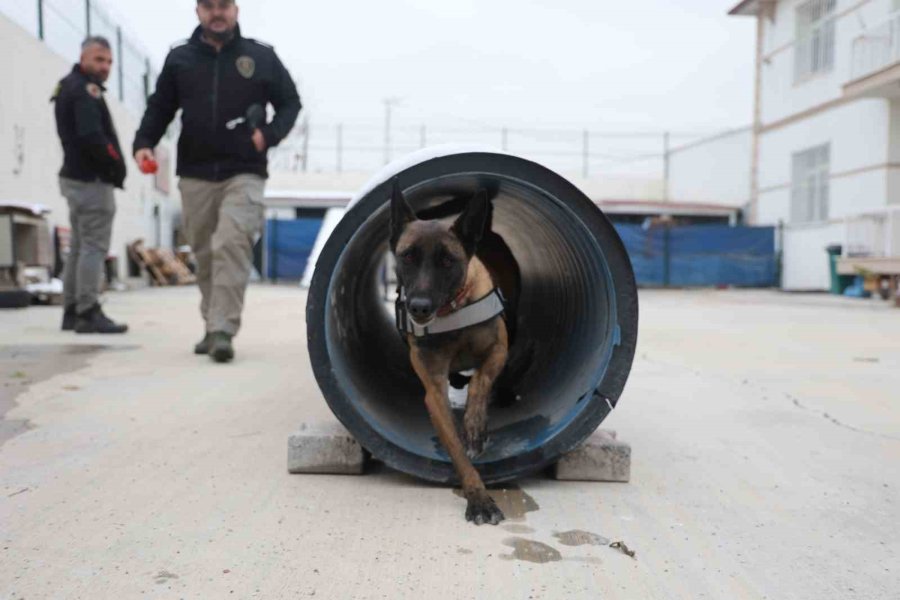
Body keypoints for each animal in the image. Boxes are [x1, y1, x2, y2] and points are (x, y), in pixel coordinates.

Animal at [388, 179, 512, 524]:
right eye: (407, 257)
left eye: (447, 261)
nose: (418, 307)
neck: (452, 313)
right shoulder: (434, 391)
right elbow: (456, 449)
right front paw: (478, 497)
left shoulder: (500, 349)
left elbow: (480, 380)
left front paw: (475, 426)